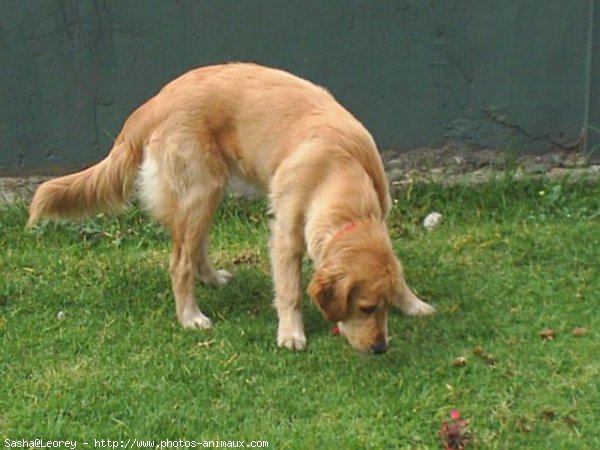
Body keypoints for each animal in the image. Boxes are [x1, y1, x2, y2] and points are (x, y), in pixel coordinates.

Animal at [28, 63, 434, 354]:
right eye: (365, 308)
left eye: (385, 307)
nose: (381, 348)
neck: (339, 169)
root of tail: (155, 102)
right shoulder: (285, 236)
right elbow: (289, 291)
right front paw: (291, 333)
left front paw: (413, 303)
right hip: (202, 188)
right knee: (180, 261)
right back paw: (190, 316)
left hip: (209, 190)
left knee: (195, 247)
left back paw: (211, 278)